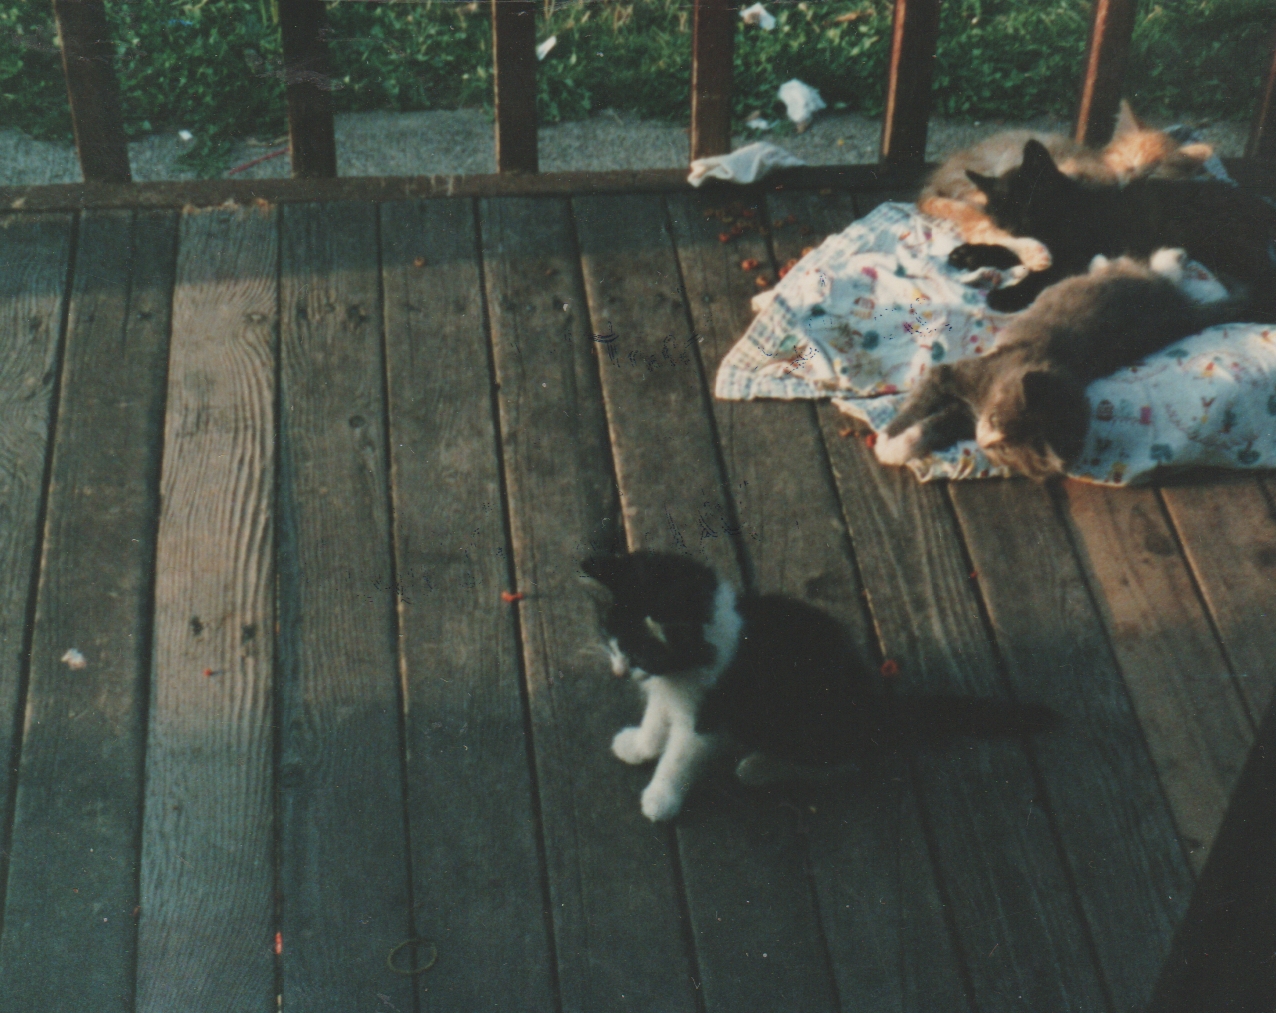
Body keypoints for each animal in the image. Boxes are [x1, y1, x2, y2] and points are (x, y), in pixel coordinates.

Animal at [584, 548, 1051, 816]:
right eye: (610, 637)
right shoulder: (671, 692)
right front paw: (639, 745)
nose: (619, 672)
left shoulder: (709, 715)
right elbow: (656, 718)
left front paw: (660, 798)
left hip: (808, 725)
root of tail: (872, 707)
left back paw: (760, 767)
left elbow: (680, 757)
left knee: (846, 763)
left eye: (642, 653)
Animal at [872, 248, 1240, 477]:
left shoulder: (968, 411)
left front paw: (896, 447)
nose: (985, 439)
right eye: (995, 418)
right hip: (1139, 281)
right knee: (1155, 267)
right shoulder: (957, 374)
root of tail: (1177, 314)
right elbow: (916, 406)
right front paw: (887, 439)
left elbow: (935, 426)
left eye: (1007, 451)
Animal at [949, 135, 1276, 313]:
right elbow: (1018, 251)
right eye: (999, 214)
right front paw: (972, 253)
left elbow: (1043, 274)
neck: (1070, 207)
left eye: (1028, 202)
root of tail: (1258, 204)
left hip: (1218, 240)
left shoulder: (1076, 253)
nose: (1015, 227)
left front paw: (1008, 294)